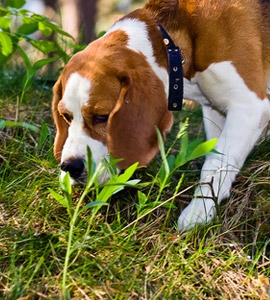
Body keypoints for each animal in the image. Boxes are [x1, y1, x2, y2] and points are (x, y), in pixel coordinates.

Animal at [52, 0, 270, 231]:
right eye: (66, 116)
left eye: (102, 116)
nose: (70, 167)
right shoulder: (214, 109)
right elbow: (214, 154)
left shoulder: (249, 106)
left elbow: (216, 162)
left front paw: (198, 211)